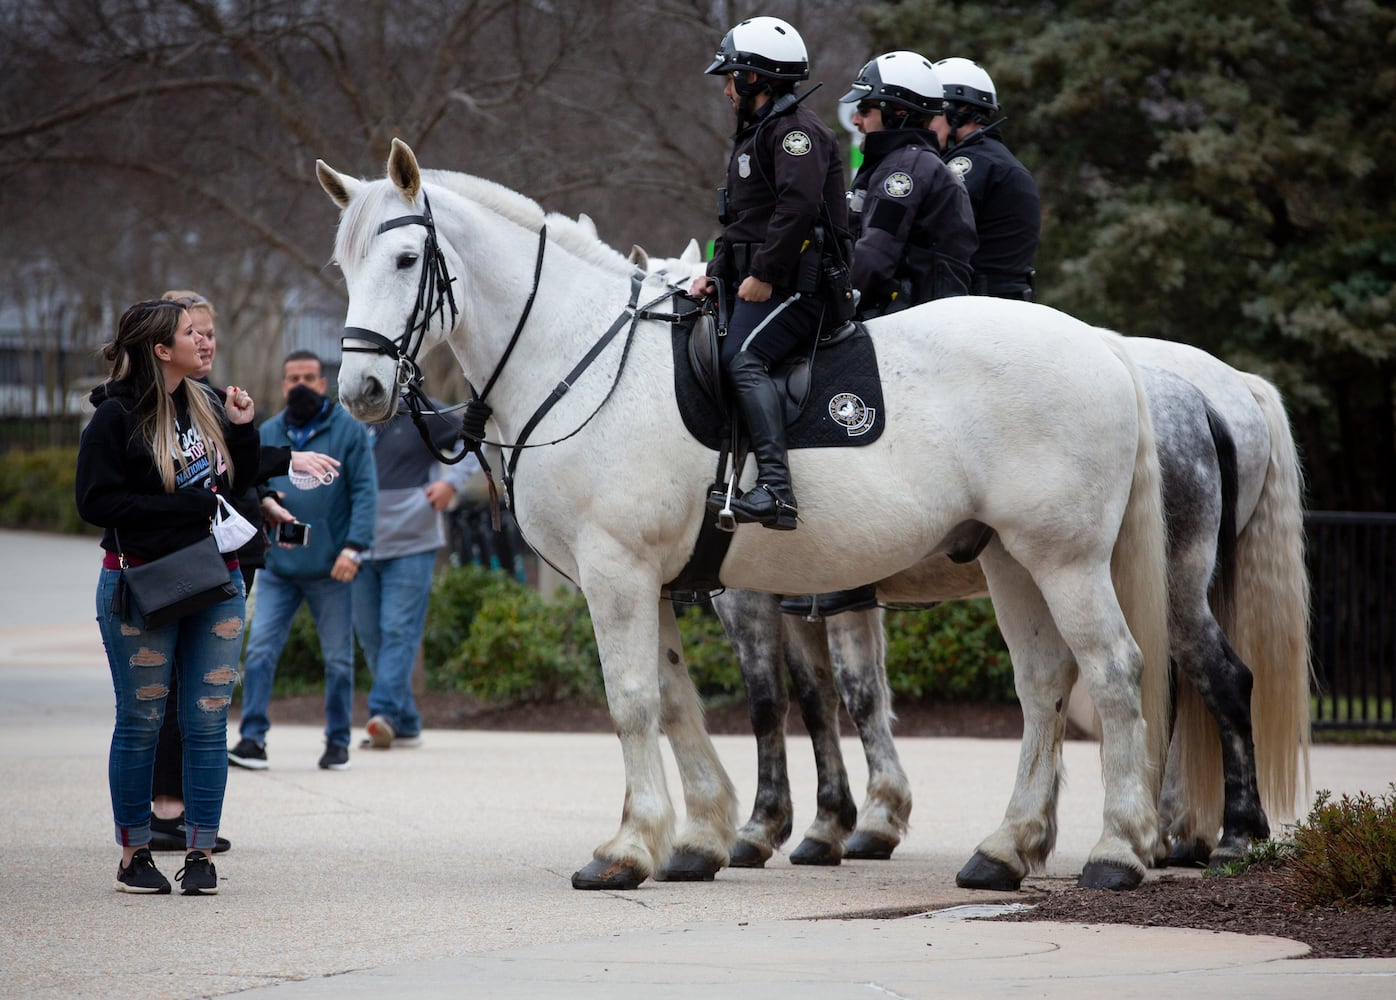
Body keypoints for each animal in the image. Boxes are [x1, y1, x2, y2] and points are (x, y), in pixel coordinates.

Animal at [316, 134, 1167, 888]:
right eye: (345, 265)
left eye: (405, 260)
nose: (360, 391)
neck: (578, 353)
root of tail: (1102, 344)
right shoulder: (659, 582)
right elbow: (677, 701)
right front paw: (697, 834)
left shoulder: (622, 572)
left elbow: (639, 701)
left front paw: (630, 848)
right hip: (1009, 559)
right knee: (1044, 683)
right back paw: (1008, 848)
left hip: (1065, 560)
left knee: (1113, 672)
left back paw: (1118, 850)